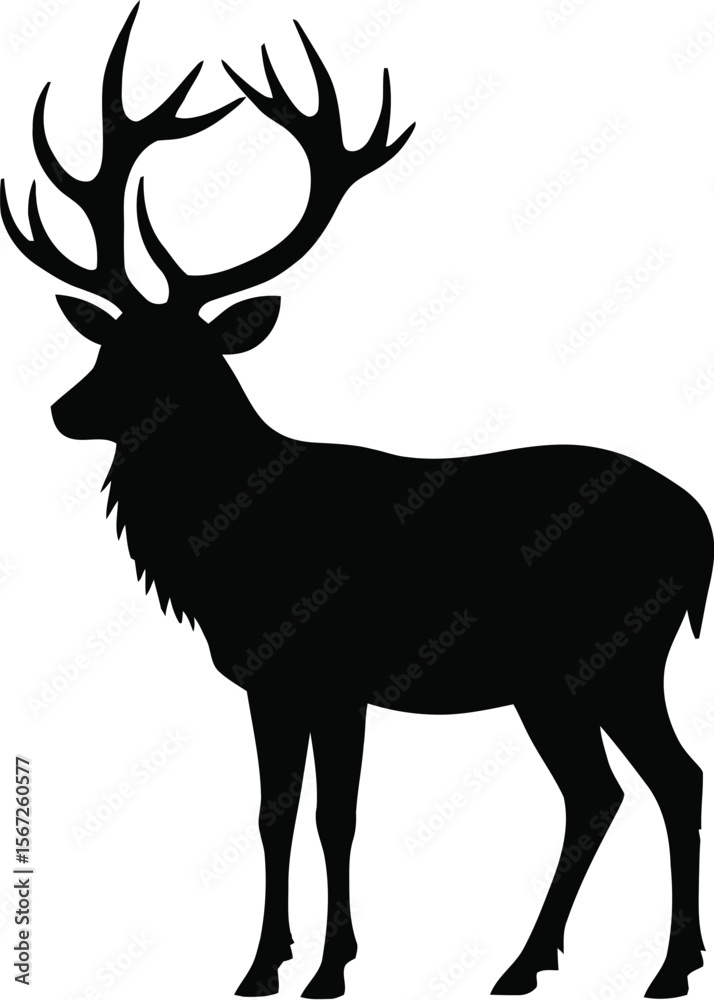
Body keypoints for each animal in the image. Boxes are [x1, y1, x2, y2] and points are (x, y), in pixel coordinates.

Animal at [2, 5, 711, 998]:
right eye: (108, 344)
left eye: (179, 356)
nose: (63, 410)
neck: (229, 551)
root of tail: (702, 528)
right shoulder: (269, 679)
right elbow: (273, 812)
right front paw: (263, 964)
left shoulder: (335, 671)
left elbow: (334, 816)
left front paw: (330, 968)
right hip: (558, 680)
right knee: (602, 791)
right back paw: (532, 963)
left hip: (621, 654)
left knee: (668, 780)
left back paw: (661, 968)